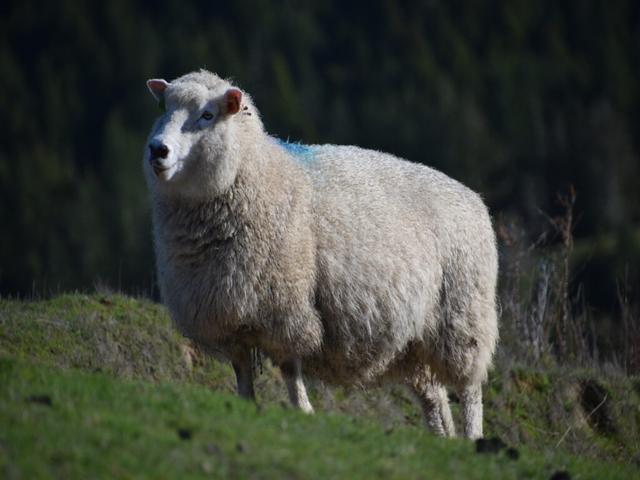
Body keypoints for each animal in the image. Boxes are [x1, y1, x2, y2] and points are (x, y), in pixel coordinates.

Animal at [144, 70, 498, 439]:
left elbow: (289, 368)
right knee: (435, 398)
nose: (158, 149)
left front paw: (303, 411)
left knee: (470, 390)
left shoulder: (285, 309)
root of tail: (473, 198)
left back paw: (471, 438)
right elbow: (242, 373)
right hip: (413, 342)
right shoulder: (228, 317)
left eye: (207, 115)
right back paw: (443, 439)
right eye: (163, 107)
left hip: (464, 317)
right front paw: (245, 407)